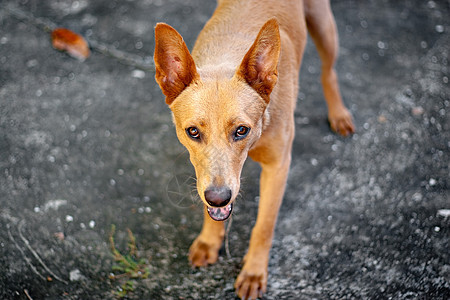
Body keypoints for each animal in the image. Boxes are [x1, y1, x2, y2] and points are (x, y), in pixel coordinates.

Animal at [155, 0, 356, 298]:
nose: (218, 198)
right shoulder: (208, 176)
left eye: (242, 130)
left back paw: (339, 113)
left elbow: (264, 227)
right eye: (192, 132)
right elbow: (211, 205)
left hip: (324, 26)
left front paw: (253, 272)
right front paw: (209, 241)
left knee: (328, 70)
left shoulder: (278, 167)